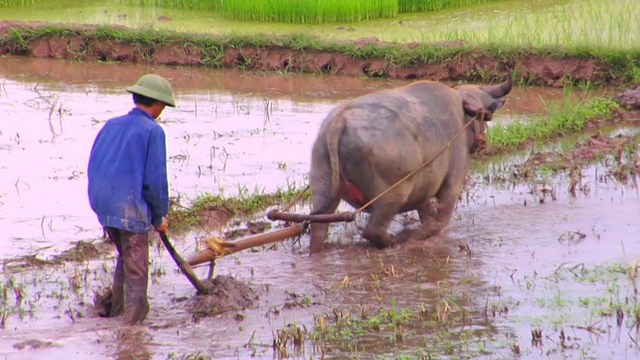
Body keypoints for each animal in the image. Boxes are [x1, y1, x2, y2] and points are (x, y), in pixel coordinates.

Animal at [308, 71, 512, 253]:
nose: (483, 141)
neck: (461, 112)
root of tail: (339, 122)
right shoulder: (453, 181)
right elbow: (442, 220)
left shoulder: (424, 189)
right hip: (393, 193)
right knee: (373, 230)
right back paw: (396, 243)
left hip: (323, 186)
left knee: (318, 229)